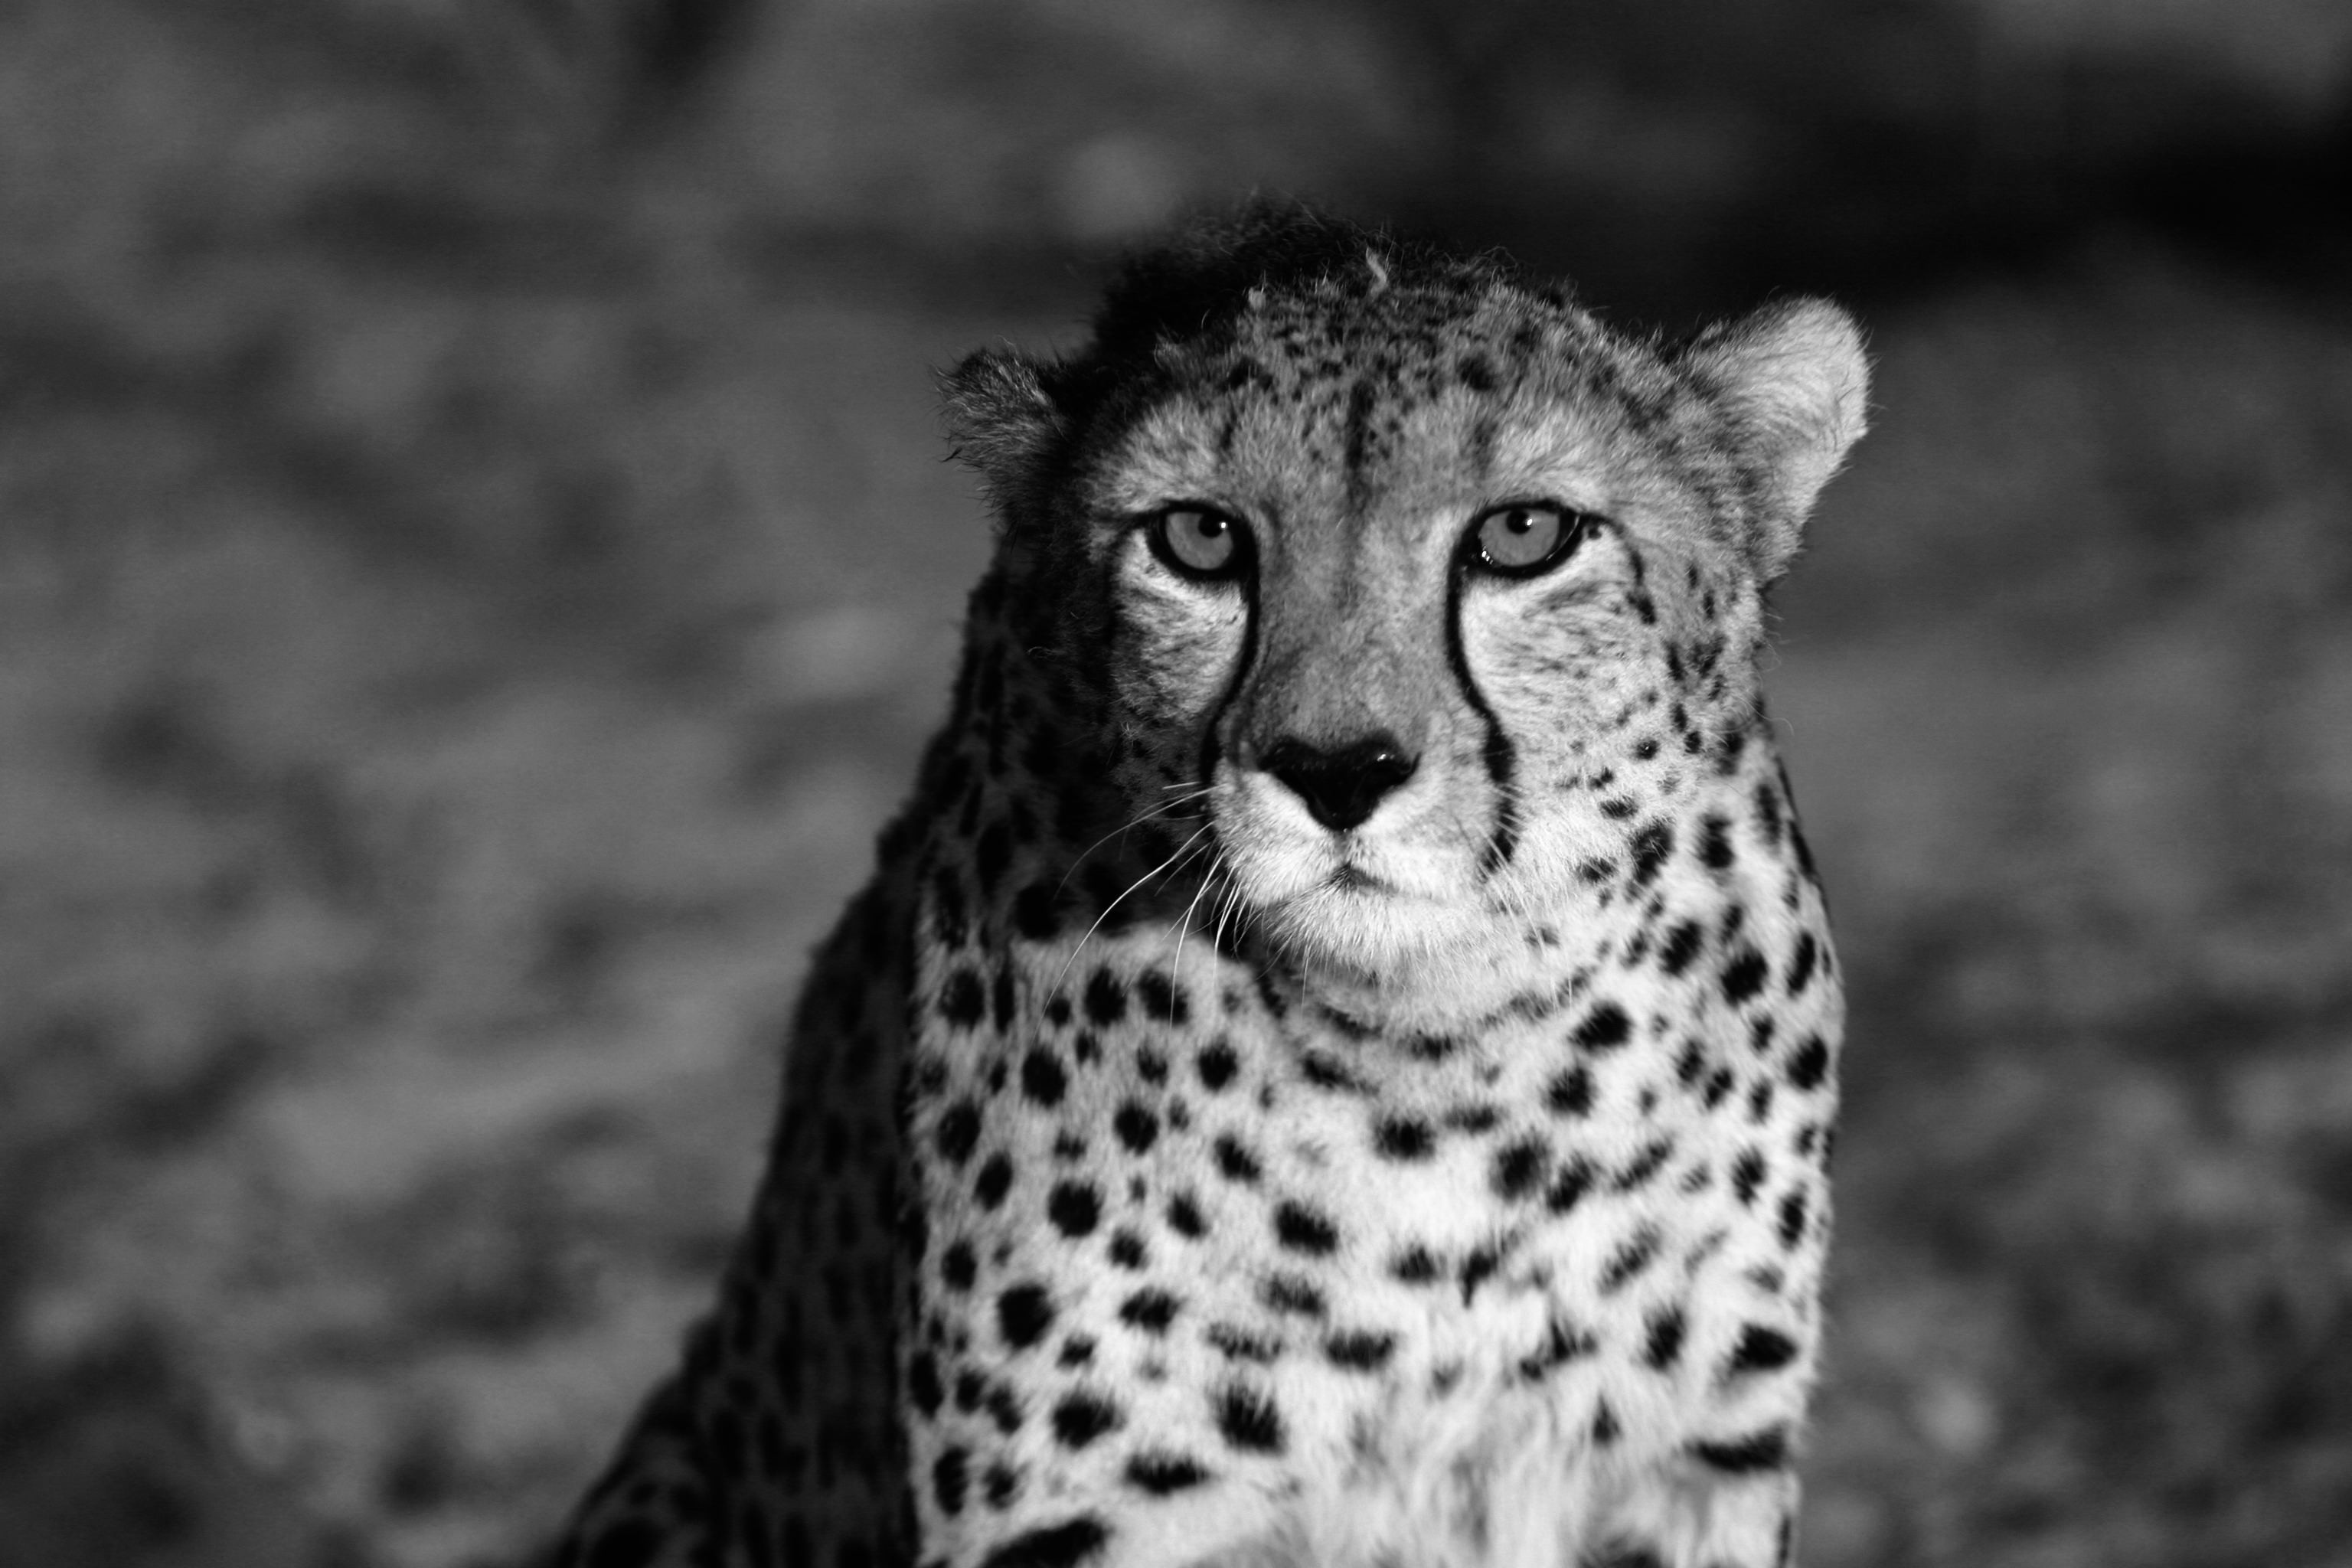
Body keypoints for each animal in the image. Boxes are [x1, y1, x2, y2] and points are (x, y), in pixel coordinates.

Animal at [547, 203, 1868, 1568]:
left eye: (1522, 536)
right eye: (1200, 537)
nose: (1338, 772)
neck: (1433, 1059)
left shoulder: (1691, 1460)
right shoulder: (1077, 1517)